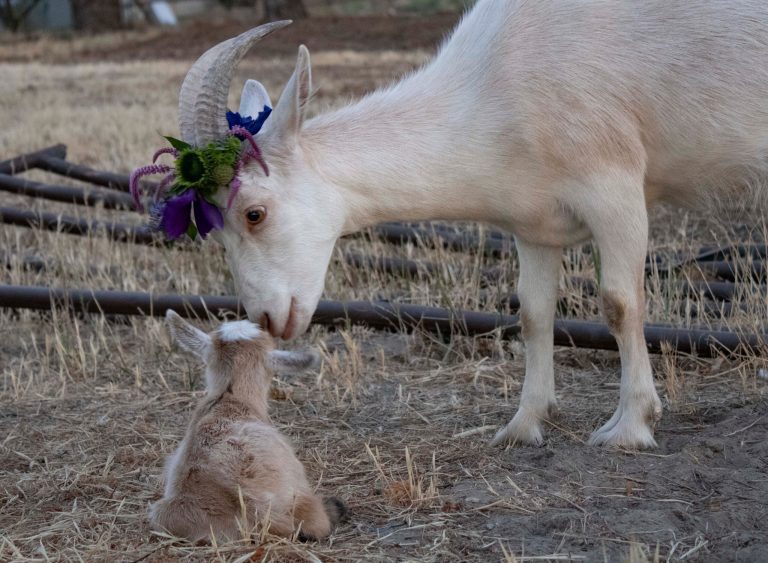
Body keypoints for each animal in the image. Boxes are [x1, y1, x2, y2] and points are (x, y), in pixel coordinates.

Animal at [165, 0, 768, 450]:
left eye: (254, 212)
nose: (268, 318)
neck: (494, 90)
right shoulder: (535, 222)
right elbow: (533, 313)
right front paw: (523, 425)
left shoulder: (615, 188)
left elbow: (619, 303)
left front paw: (631, 427)